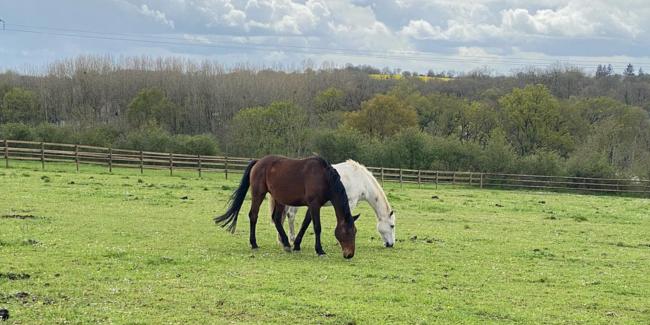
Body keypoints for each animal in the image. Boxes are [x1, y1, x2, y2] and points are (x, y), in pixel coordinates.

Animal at [213, 154, 356, 258]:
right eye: (347, 232)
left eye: (355, 232)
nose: (349, 254)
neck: (323, 177)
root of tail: (258, 162)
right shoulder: (314, 204)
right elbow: (317, 227)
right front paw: (320, 251)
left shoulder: (313, 205)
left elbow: (305, 225)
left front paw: (296, 245)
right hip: (258, 194)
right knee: (253, 215)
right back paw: (254, 244)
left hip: (279, 199)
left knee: (276, 218)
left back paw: (286, 243)